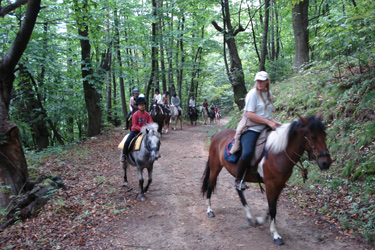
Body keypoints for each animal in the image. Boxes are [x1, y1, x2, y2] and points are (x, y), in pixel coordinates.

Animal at [201, 114, 334, 245]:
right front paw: (276, 235)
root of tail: (217, 135)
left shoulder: (280, 184)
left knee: (238, 189)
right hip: (215, 167)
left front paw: (260, 220)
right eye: (313, 137)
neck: (279, 154)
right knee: (210, 185)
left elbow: (272, 207)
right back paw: (209, 210)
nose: (326, 163)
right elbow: (272, 209)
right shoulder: (271, 184)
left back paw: (249, 216)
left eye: (325, 135)